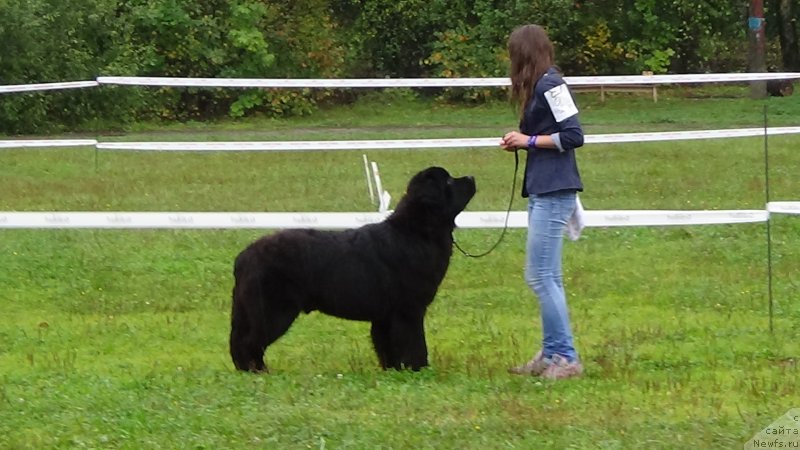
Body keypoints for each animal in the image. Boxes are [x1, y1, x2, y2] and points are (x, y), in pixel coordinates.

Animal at [228, 166, 476, 372]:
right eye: (449, 182)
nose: (471, 177)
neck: (417, 231)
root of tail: (244, 256)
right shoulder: (408, 309)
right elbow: (413, 343)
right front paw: (418, 369)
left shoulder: (385, 315)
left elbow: (387, 345)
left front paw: (394, 370)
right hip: (273, 310)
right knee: (249, 342)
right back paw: (257, 371)